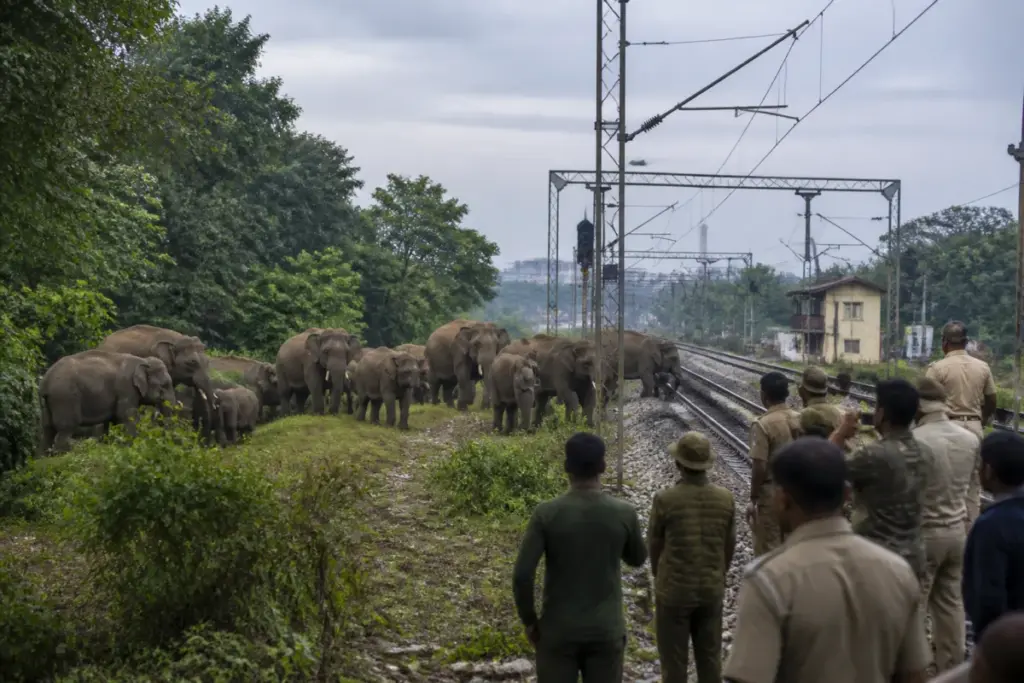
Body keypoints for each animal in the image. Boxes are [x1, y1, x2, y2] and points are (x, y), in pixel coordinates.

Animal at [39, 350, 177, 454]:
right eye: (165, 385)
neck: (143, 360)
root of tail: (45, 381)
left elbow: (113, 421)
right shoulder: (126, 388)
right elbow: (126, 416)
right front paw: (132, 446)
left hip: (49, 402)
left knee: (47, 430)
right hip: (65, 398)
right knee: (65, 429)